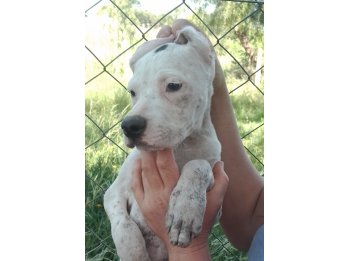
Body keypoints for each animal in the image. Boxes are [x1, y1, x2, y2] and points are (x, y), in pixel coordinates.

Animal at [104, 25, 222, 260]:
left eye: (173, 86)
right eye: (132, 92)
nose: (129, 126)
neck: (179, 147)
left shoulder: (215, 176)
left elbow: (198, 166)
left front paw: (184, 211)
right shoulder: (113, 192)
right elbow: (124, 226)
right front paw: (132, 252)